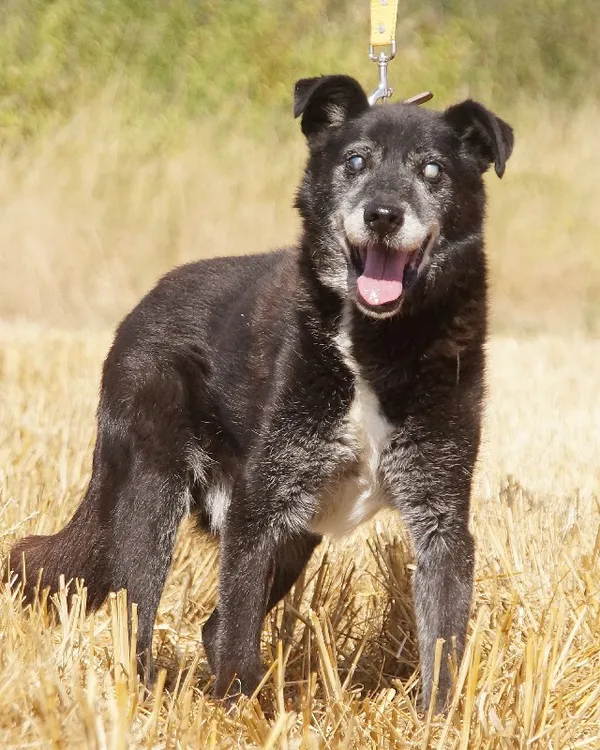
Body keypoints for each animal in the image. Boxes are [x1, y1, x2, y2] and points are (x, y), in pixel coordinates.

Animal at [7, 75, 512, 712]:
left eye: (432, 170)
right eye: (355, 161)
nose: (382, 215)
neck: (372, 345)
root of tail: (143, 305)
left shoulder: (441, 517)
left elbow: (444, 647)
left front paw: (440, 723)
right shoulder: (260, 505)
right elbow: (240, 639)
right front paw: (240, 714)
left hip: (295, 534)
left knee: (210, 625)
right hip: (154, 492)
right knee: (138, 615)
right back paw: (142, 699)